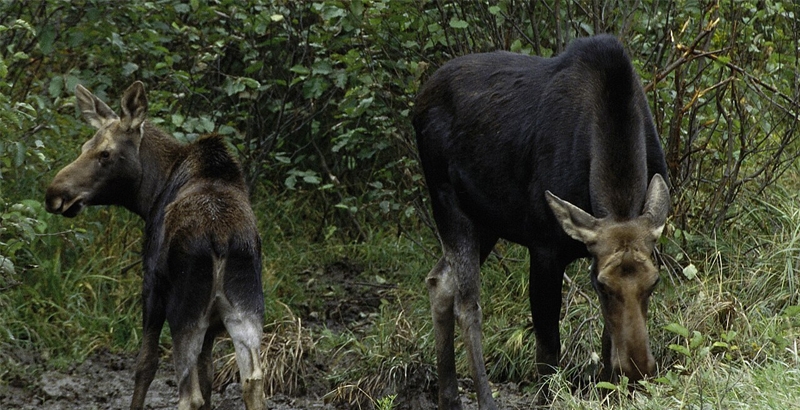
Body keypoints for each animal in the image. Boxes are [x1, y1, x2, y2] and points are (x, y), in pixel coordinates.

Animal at [46, 81, 266, 410]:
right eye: (85, 147)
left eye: (105, 153)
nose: (55, 193)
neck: (149, 194)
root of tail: (221, 239)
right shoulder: (214, 323)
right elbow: (209, 375)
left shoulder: (151, 286)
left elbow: (145, 365)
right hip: (246, 308)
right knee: (252, 381)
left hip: (184, 309)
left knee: (189, 395)